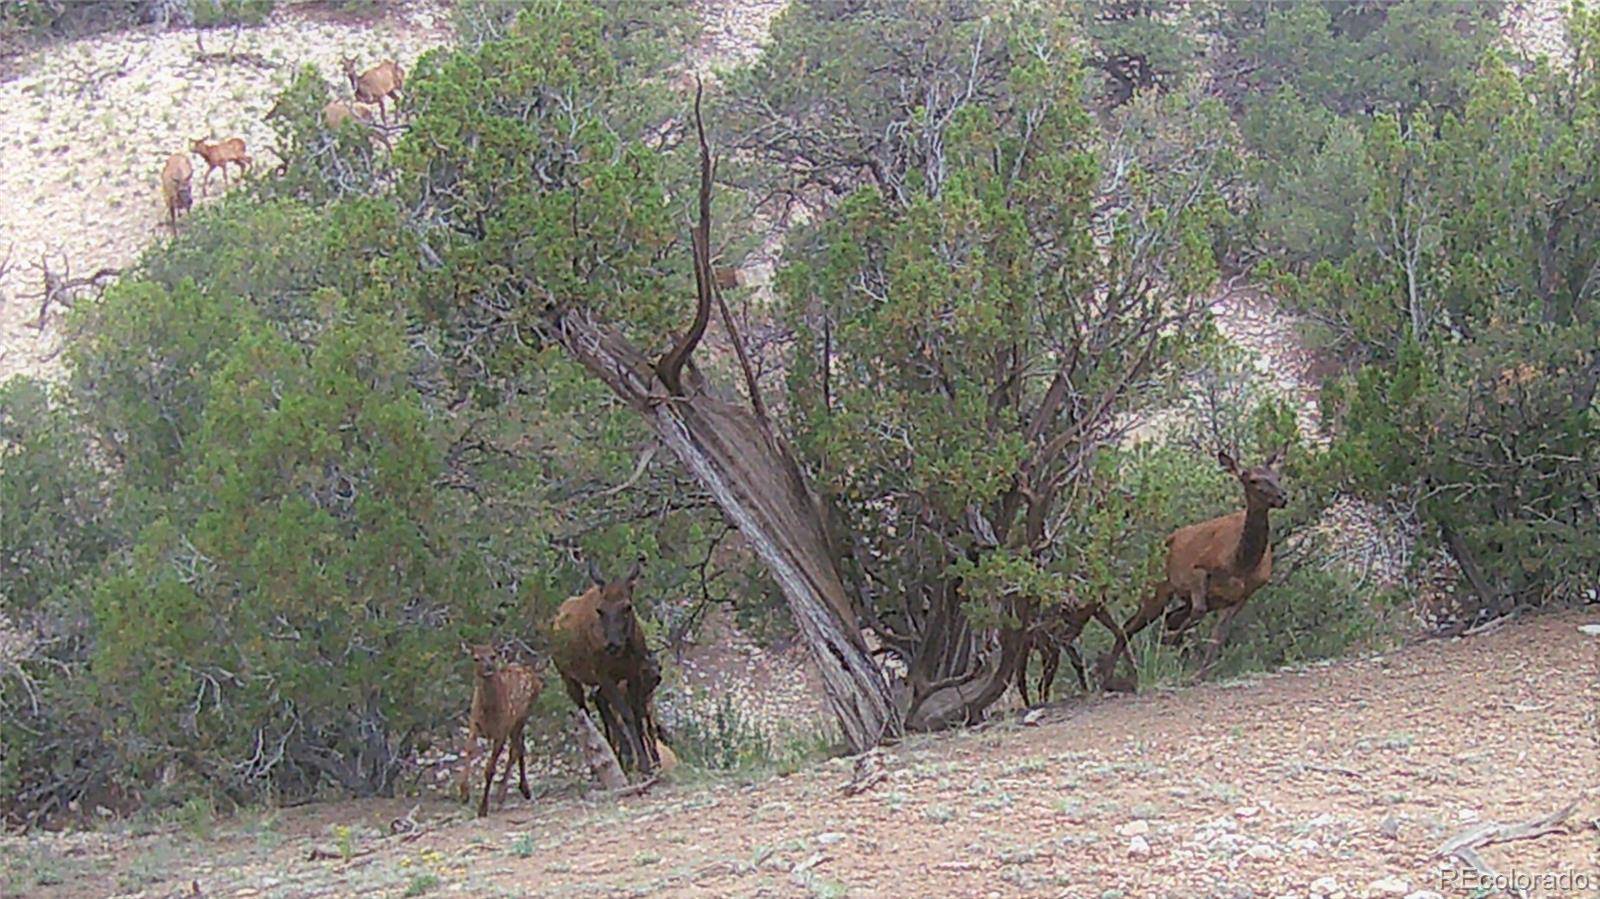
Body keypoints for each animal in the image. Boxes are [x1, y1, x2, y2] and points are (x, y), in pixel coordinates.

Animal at [457, 639, 544, 815]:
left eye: (493, 656)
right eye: (476, 658)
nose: (489, 668)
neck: (488, 710)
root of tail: (535, 677)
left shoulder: (501, 731)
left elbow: (490, 769)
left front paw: (483, 808)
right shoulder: (474, 725)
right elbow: (468, 751)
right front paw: (464, 793)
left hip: (521, 718)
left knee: (515, 749)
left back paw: (505, 793)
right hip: (515, 724)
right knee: (520, 746)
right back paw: (521, 789)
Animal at [544, 559, 656, 771]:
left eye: (627, 607)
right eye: (600, 610)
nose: (612, 644)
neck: (625, 652)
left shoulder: (633, 673)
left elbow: (637, 714)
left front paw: (646, 761)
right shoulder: (603, 675)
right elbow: (627, 714)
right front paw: (644, 764)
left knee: (599, 700)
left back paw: (623, 753)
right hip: (569, 677)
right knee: (585, 713)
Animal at [1100, 447, 1286, 684]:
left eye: (1277, 476)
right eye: (1253, 480)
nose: (1282, 496)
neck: (1240, 563)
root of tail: (1165, 541)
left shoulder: (1242, 594)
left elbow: (1218, 635)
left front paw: (1200, 674)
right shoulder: (1197, 571)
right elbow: (1199, 611)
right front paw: (1172, 643)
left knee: (1165, 618)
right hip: (1157, 587)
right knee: (1129, 626)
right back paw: (1109, 676)